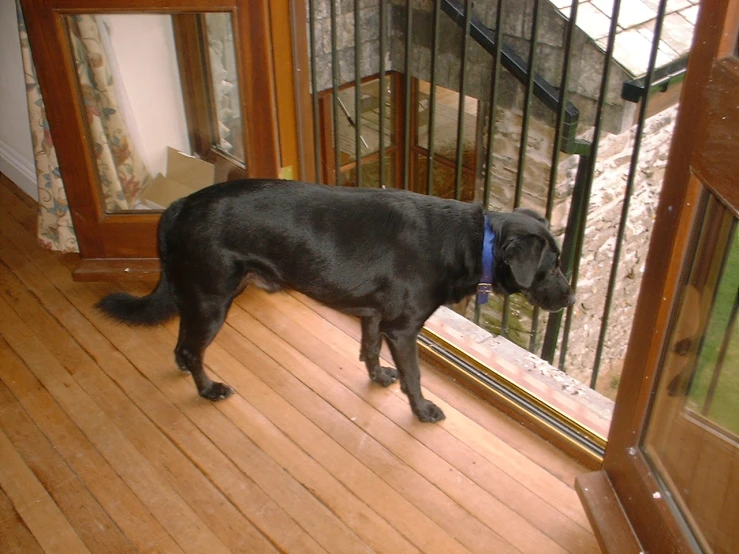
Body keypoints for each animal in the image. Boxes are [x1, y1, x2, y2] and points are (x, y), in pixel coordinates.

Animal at [97, 179, 572, 420]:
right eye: (551, 266)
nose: (569, 299)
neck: (475, 242)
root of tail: (178, 206)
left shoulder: (375, 317)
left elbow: (369, 350)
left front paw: (378, 377)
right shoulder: (403, 329)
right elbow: (415, 376)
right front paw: (421, 409)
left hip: (199, 296)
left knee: (183, 344)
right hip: (214, 299)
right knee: (194, 349)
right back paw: (208, 389)